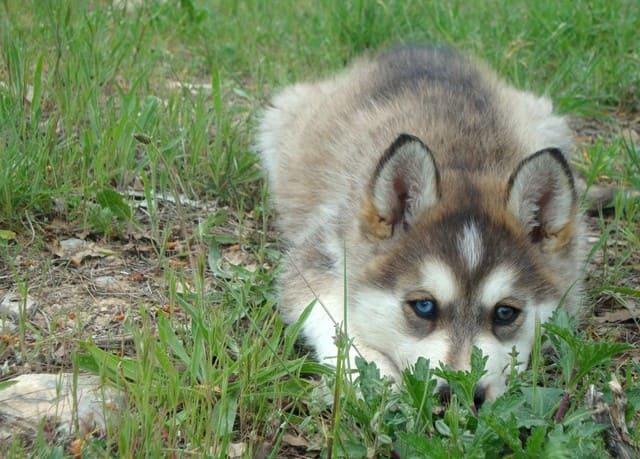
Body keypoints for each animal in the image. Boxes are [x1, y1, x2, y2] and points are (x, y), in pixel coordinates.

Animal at [255, 46, 584, 404]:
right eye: (424, 306)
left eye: (505, 313)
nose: (457, 396)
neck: (462, 162)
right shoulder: (317, 253)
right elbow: (332, 316)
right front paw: (372, 371)